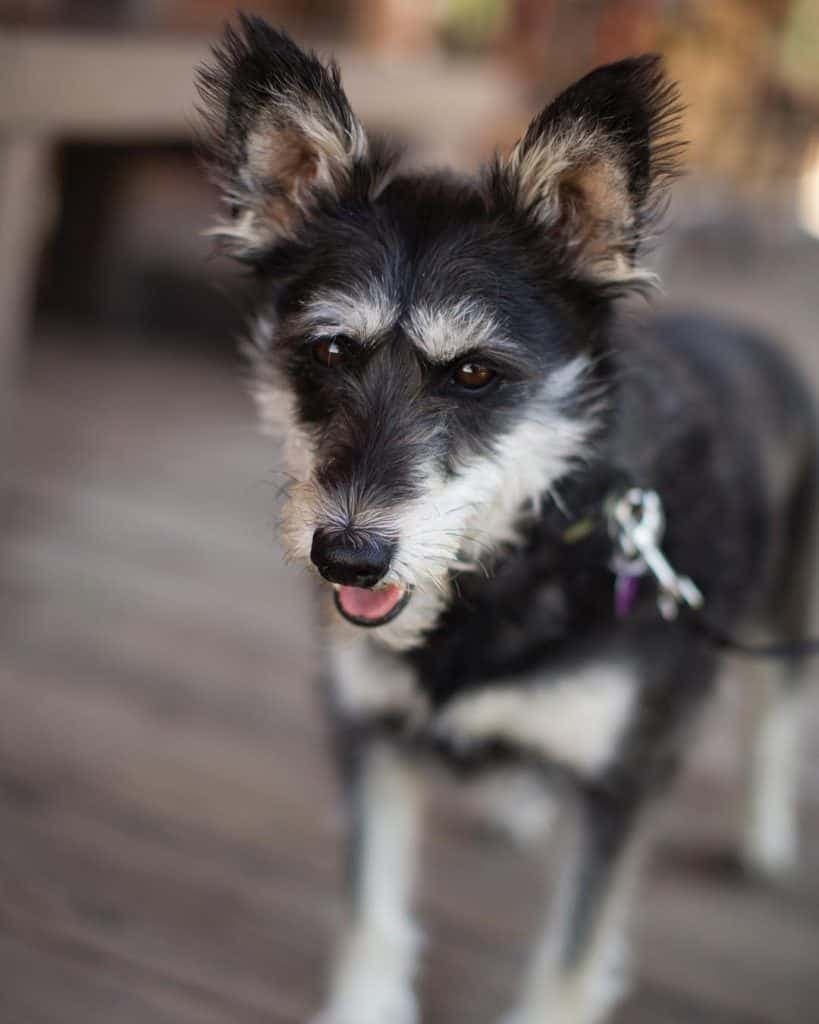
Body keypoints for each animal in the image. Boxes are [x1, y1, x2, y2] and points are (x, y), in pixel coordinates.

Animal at [195, 16, 814, 1024]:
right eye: (328, 351)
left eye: (475, 373)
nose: (349, 556)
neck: (518, 561)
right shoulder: (371, 741)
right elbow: (370, 913)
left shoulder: (620, 787)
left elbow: (569, 956)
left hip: (785, 601)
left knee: (777, 712)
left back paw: (763, 836)